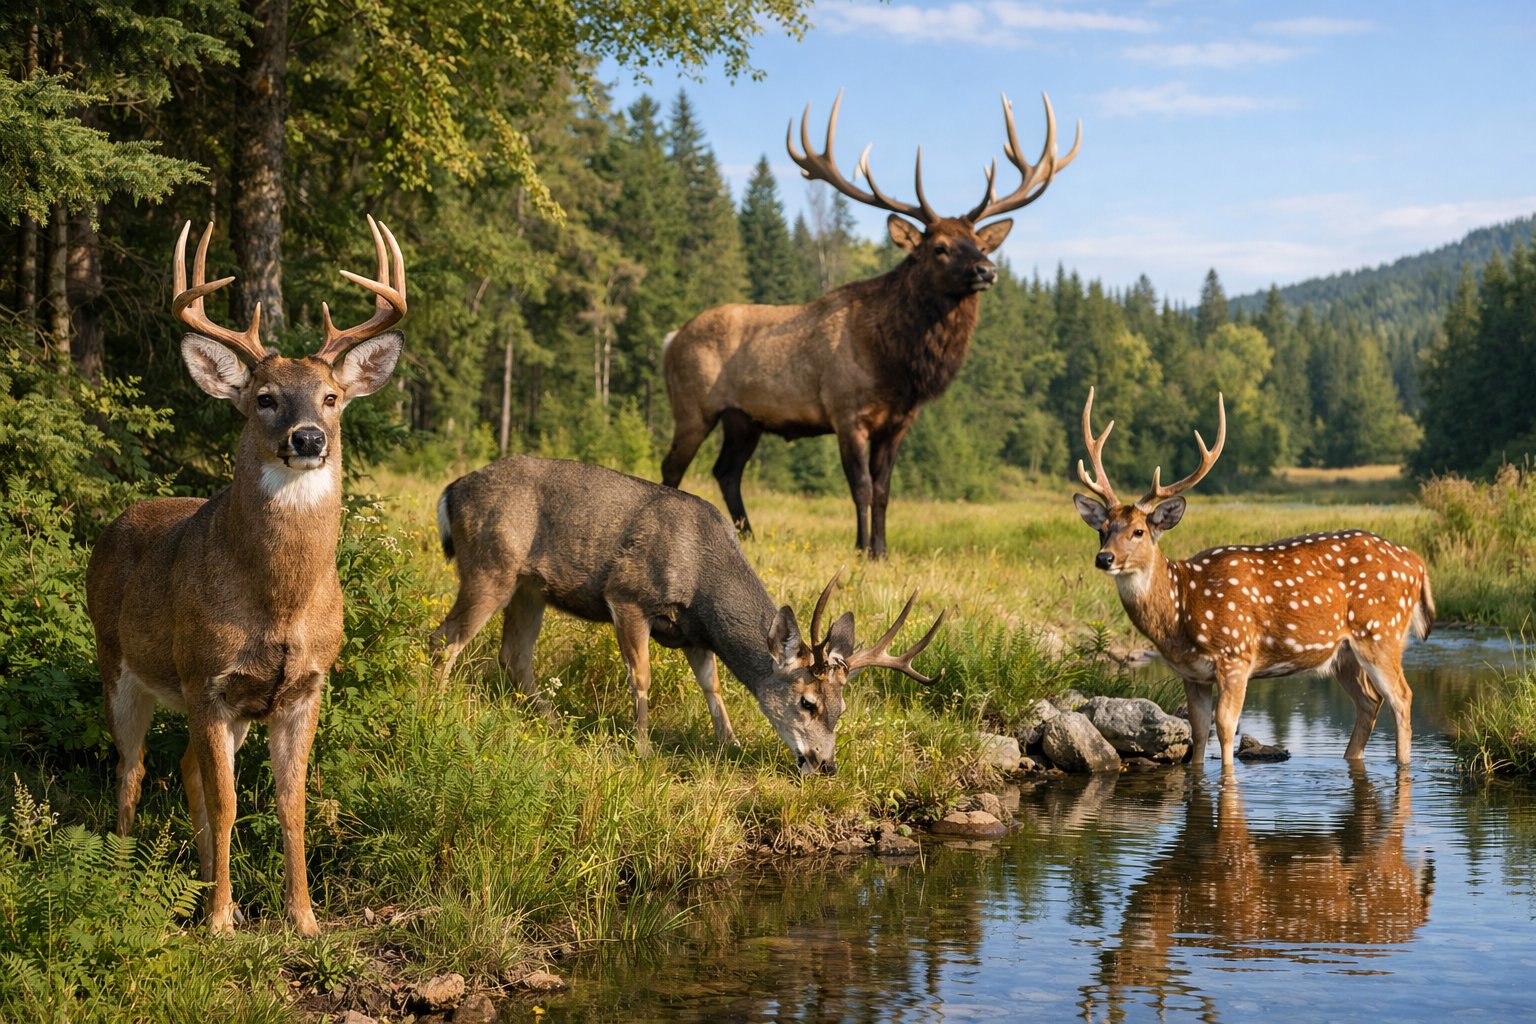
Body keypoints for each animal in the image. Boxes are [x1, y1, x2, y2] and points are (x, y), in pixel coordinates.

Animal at [85, 216, 406, 935]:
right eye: (264, 398)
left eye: (332, 397)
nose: (309, 438)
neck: (279, 602)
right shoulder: (209, 680)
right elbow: (230, 803)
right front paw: (219, 924)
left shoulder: (303, 687)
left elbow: (290, 803)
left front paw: (302, 917)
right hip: (118, 662)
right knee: (132, 767)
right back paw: (125, 873)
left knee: (184, 770)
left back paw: (208, 886)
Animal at [430, 454, 944, 774]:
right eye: (807, 702)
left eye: (842, 709)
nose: (826, 764)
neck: (702, 576)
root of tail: (450, 491)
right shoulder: (628, 595)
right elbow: (641, 677)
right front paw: (641, 747)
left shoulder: (696, 634)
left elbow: (711, 686)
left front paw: (730, 744)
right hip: (490, 564)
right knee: (446, 637)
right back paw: (434, 705)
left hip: (529, 587)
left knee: (514, 656)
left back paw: (553, 723)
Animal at [662, 91, 1079, 558]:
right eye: (939, 247)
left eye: (980, 243)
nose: (987, 270)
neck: (897, 366)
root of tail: (670, 339)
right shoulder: (847, 411)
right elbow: (860, 487)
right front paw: (861, 549)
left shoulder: (898, 422)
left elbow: (883, 490)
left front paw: (881, 550)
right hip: (693, 405)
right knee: (674, 465)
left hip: (743, 418)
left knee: (727, 471)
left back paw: (747, 533)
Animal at [1071, 388, 1433, 768]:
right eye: (1102, 529)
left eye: (1139, 531)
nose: (1104, 558)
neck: (1181, 610)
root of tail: (1418, 563)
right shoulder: (1192, 673)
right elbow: (1199, 731)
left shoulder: (1236, 654)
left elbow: (1225, 727)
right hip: (1344, 654)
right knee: (1369, 701)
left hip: (1381, 632)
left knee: (1402, 698)